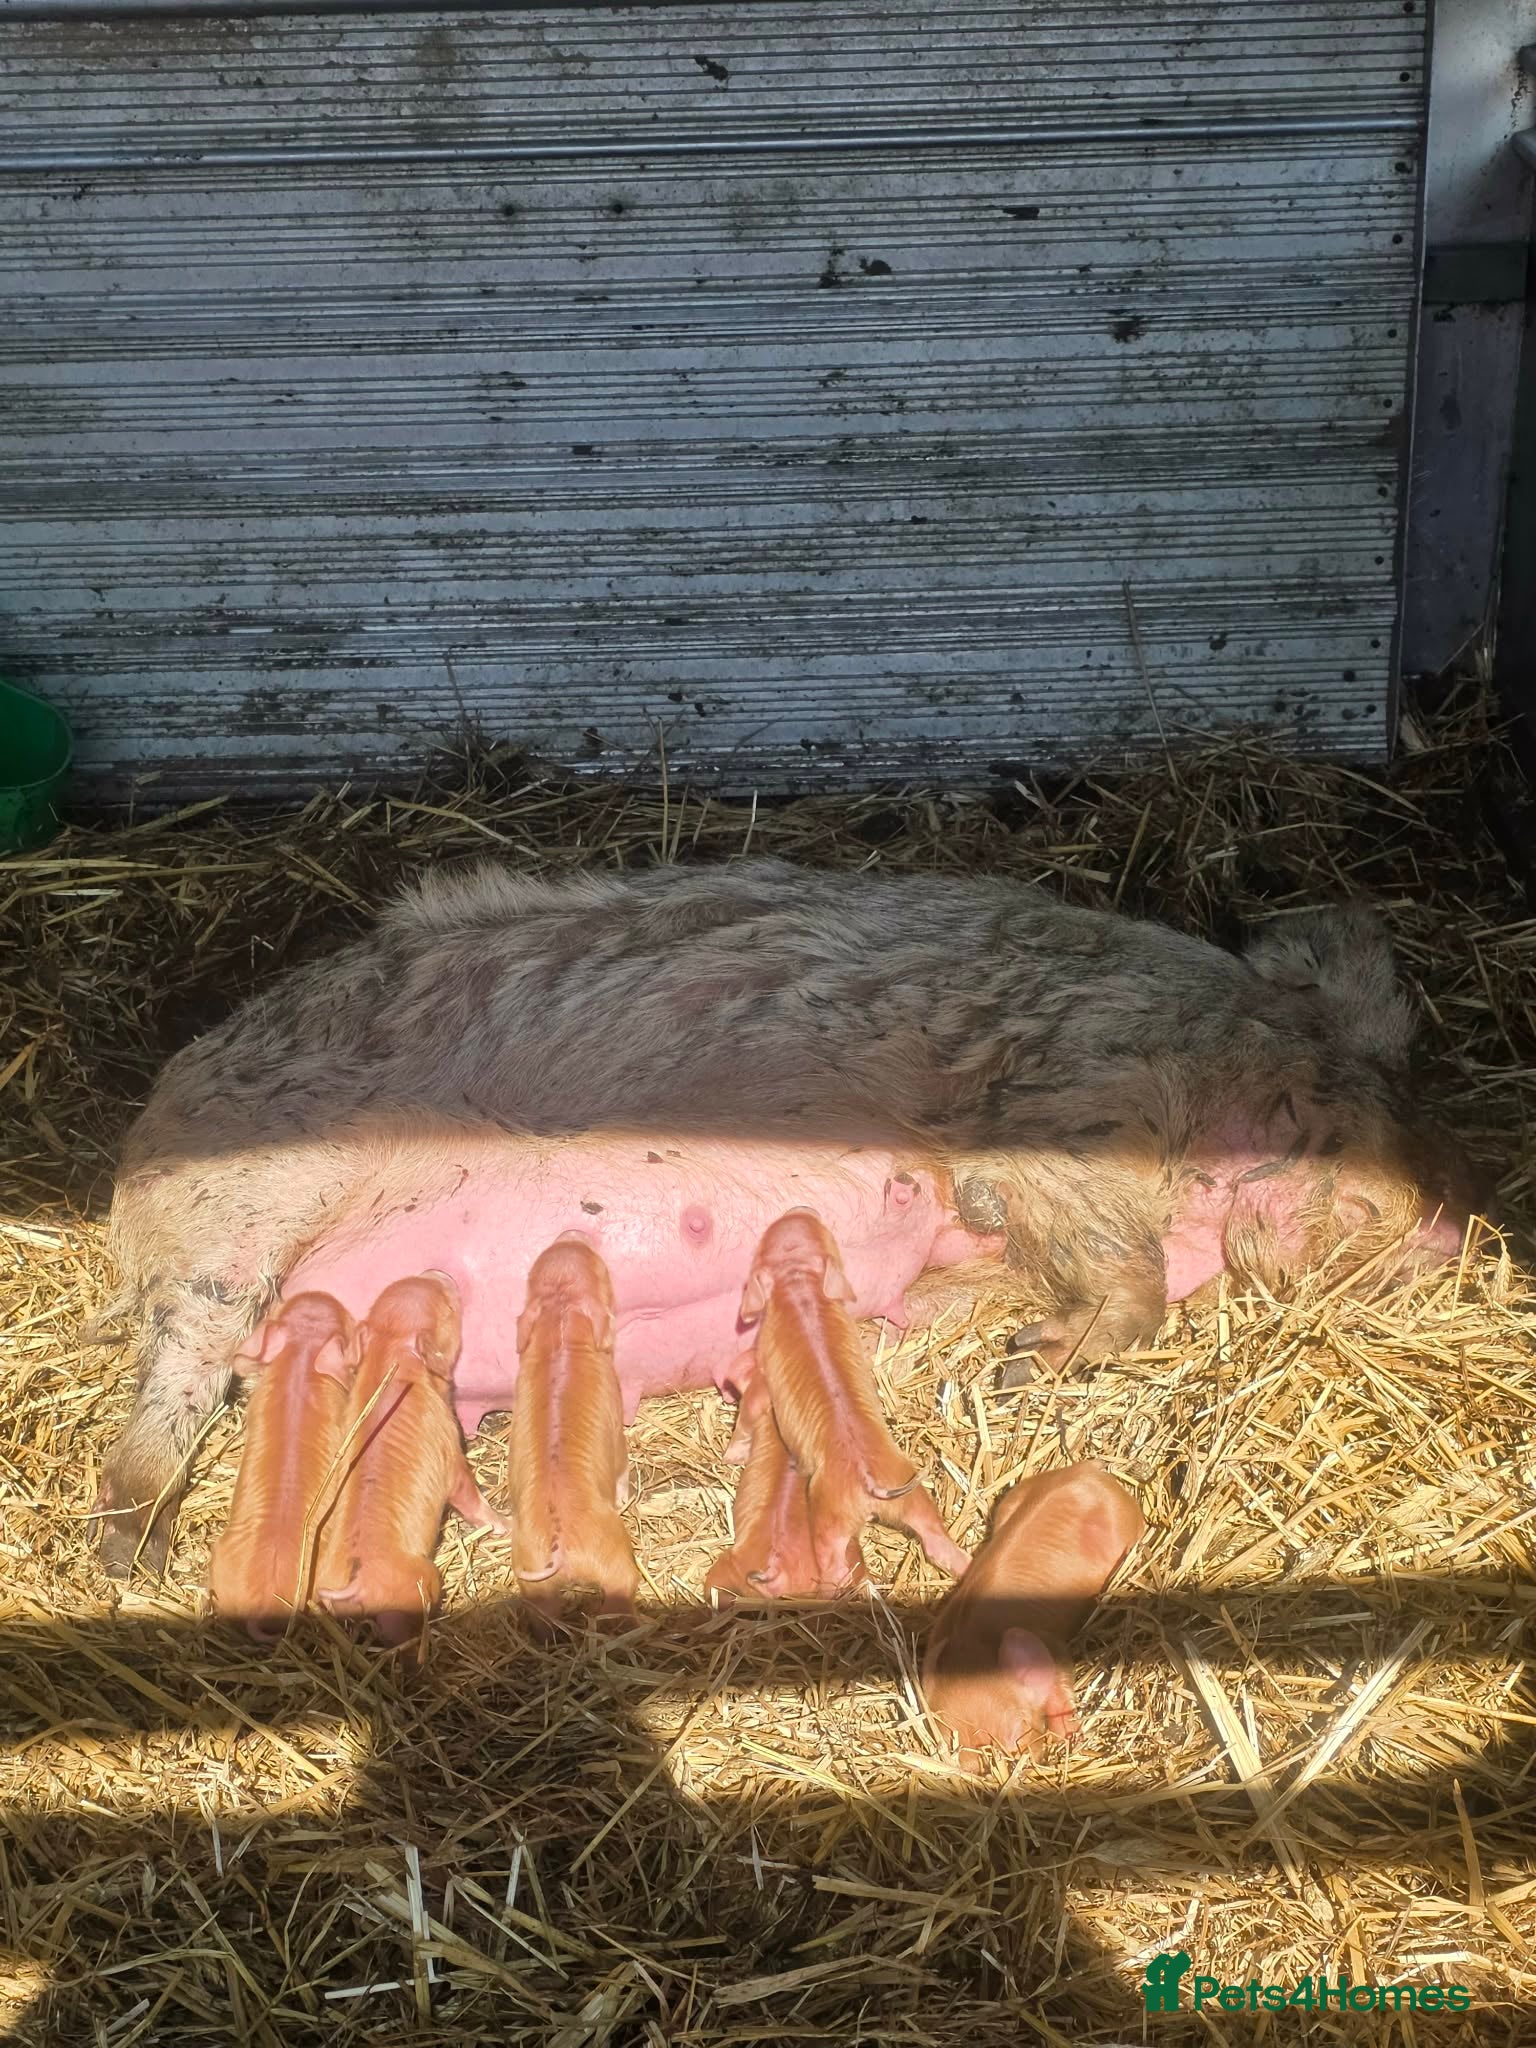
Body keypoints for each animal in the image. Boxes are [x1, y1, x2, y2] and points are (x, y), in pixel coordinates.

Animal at [317, 1272, 503, 1646]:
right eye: (448, 1308)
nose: (438, 1272)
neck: (389, 1354)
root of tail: (352, 1586)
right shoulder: (450, 1453)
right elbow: (469, 1496)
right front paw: (504, 1524)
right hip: (416, 1586)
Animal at [508, 1234, 639, 1622]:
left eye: (534, 1269)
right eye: (600, 1268)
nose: (572, 1233)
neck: (560, 1320)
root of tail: (559, 1548)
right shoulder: (616, 1422)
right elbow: (622, 1464)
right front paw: (624, 1496)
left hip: (535, 1583)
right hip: (613, 1560)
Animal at [731, 1209, 972, 1590]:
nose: (799, 1210)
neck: (799, 1285)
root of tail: (869, 1481)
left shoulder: (763, 1375)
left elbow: (748, 1413)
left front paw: (733, 1454)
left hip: (828, 1516)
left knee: (835, 1568)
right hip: (913, 1496)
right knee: (941, 1544)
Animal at [921, 1462, 1145, 1768]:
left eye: (1020, 1728)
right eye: (955, 1747)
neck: (973, 1648)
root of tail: (1088, 1471)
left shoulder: (1051, 1644)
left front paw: (1068, 1735)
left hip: (1127, 1527)